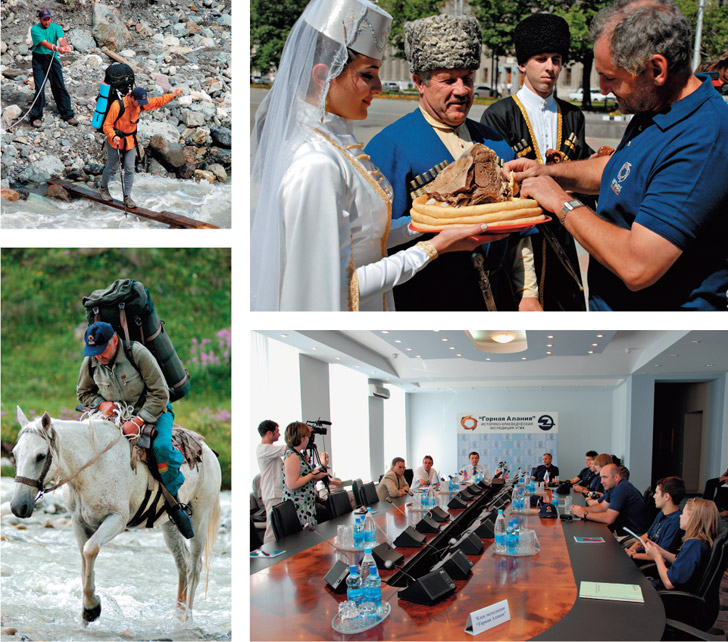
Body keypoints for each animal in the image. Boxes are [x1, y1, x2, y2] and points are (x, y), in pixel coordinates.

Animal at [9, 408, 220, 624]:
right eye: (14, 454)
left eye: (41, 455)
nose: (18, 506)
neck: (93, 466)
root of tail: (208, 452)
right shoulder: (79, 523)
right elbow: (84, 562)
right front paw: (86, 614)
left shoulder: (116, 520)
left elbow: (90, 550)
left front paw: (92, 608)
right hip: (170, 524)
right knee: (182, 563)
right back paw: (177, 615)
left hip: (200, 519)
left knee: (195, 567)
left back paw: (186, 618)